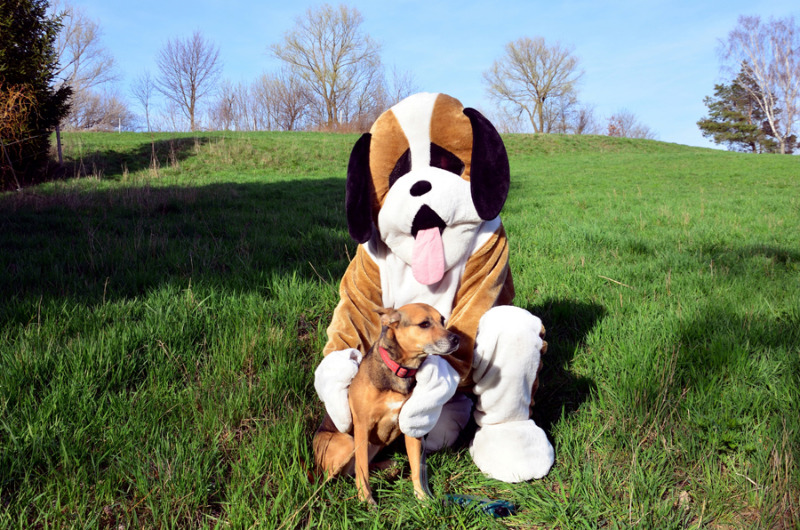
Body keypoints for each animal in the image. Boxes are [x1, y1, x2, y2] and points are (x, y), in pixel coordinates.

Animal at [314, 302, 462, 504]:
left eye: (442, 320)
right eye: (424, 324)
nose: (456, 339)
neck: (400, 370)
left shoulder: (411, 427)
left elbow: (416, 468)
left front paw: (422, 498)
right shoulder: (362, 426)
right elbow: (362, 469)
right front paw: (366, 499)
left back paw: (387, 472)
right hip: (347, 443)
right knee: (331, 479)